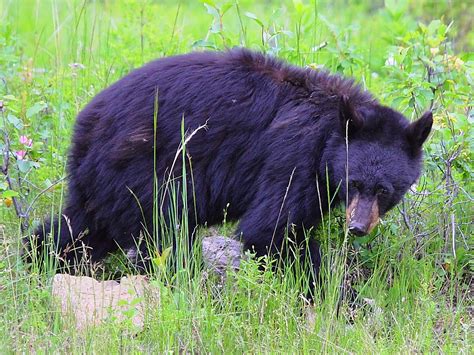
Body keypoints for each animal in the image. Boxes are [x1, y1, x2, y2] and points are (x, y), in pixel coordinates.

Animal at [31, 47, 434, 280]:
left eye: (385, 189)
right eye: (354, 182)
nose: (357, 227)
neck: (329, 135)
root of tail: (85, 126)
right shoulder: (295, 157)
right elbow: (272, 230)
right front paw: (337, 297)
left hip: (106, 183)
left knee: (81, 228)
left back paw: (36, 259)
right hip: (146, 171)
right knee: (167, 232)